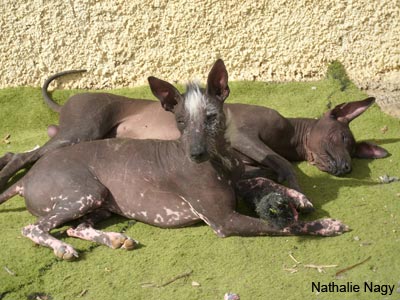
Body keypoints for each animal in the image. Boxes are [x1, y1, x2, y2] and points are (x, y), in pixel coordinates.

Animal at [0, 59, 346, 258]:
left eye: (211, 117)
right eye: (179, 121)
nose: (195, 155)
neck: (220, 160)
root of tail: (27, 180)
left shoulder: (241, 175)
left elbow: (264, 175)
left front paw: (297, 196)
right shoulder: (224, 221)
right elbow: (285, 226)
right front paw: (325, 224)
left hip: (102, 200)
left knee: (78, 227)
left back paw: (114, 239)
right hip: (83, 189)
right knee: (33, 228)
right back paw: (62, 247)